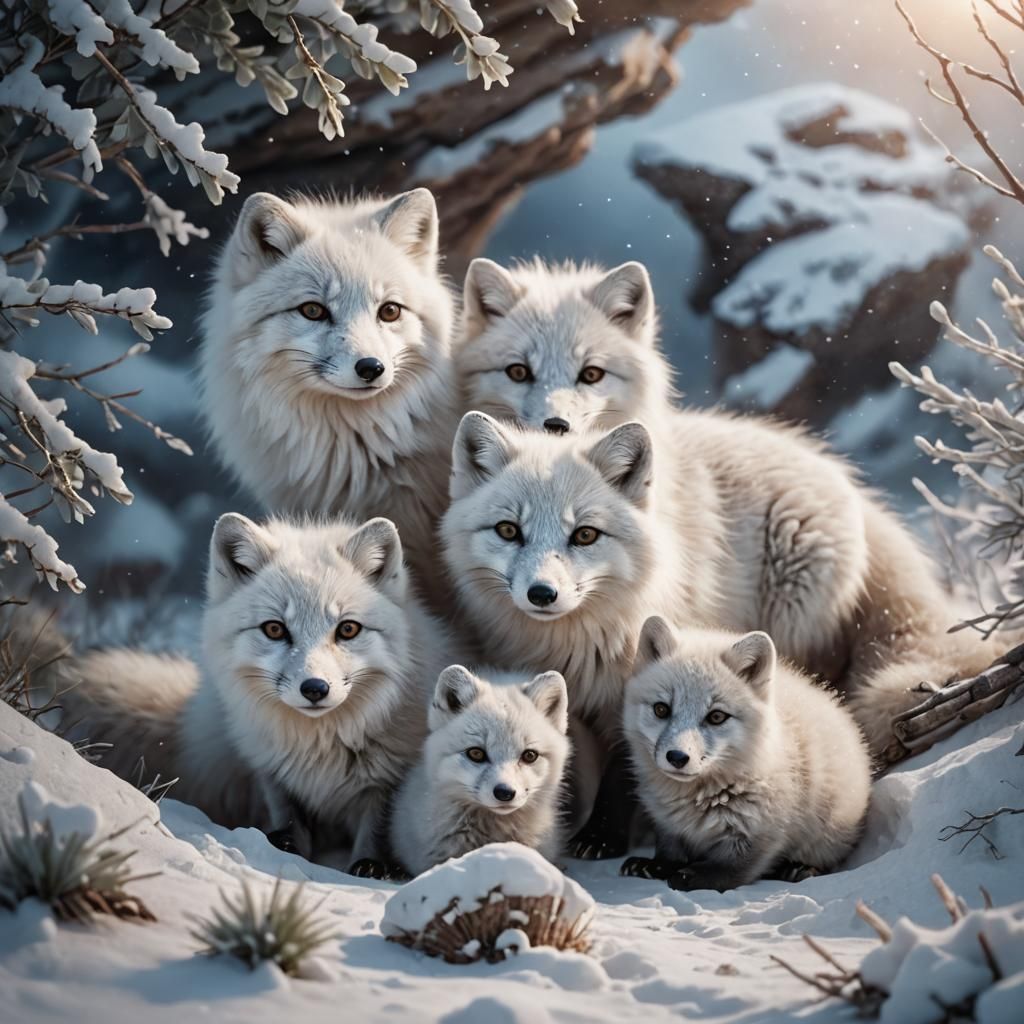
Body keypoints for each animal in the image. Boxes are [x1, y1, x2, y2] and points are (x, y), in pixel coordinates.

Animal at [61, 513, 454, 877]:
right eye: (275, 629)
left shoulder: (387, 782)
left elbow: (374, 830)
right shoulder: (272, 772)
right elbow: (288, 819)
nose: (315, 689)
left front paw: (371, 866)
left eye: (348, 629)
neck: (319, 747)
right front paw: (285, 847)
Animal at [620, 617, 871, 891]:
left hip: (828, 831)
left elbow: (730, 869)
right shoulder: (668, 825)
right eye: (661, 709)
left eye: (716, 716)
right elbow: (670, 849)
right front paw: (659, 866)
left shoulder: (761, 834)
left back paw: (799, 868)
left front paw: (690, 876)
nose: (677, 757)